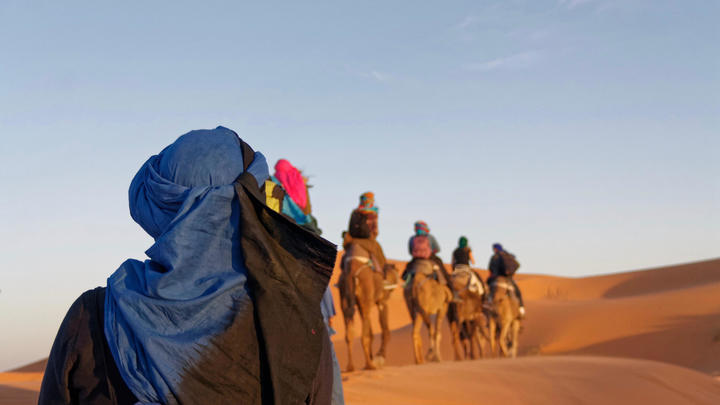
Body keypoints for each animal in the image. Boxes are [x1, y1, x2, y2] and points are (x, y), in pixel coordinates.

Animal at [338, 241, 400, 370]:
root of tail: (352, 270)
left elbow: (371, 332)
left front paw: (374, 357)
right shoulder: (382, 302)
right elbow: (385, 331)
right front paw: (379, 357)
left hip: (345, 297)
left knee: (349, 332)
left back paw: (351, 366)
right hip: (365, 294)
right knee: (363, 335)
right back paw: (369, 365)